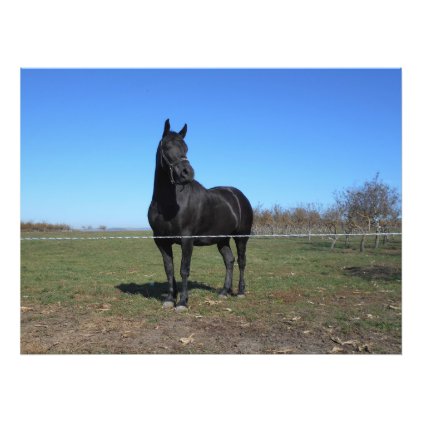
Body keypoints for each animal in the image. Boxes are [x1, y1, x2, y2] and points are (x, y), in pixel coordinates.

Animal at [148, 118, 254, 310]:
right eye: (167, 146)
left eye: (186, 147)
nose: (187, 173)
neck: (167, 205)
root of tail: (239, 196)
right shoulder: (161, 240)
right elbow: (169, 268)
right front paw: (170, 299)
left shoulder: (186, 239)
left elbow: (184, 269)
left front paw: (182, 302)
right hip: (222, 239)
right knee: (229, 260)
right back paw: (224, 291)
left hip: (241, 237)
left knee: (242, 261)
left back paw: (241, 292)